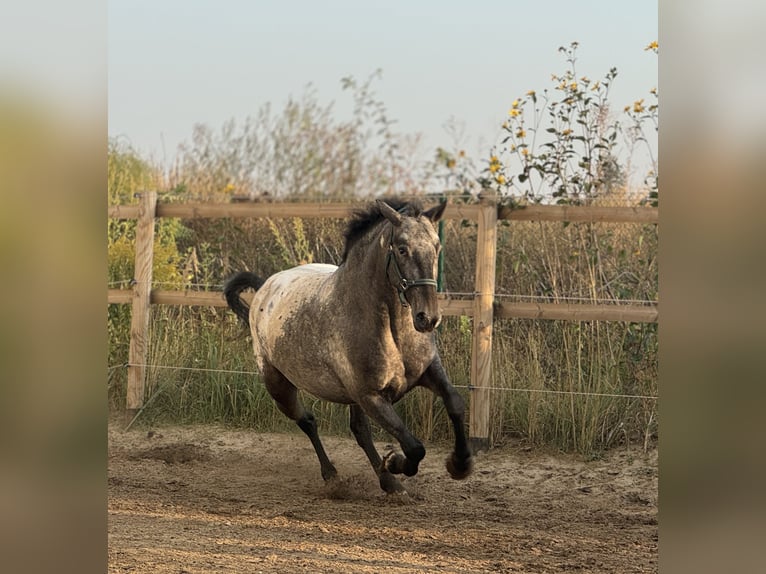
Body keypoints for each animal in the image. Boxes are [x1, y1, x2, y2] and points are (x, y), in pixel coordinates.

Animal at [222, 199, 474, 496]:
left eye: (437, 247)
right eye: (402, 249)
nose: (428, 318)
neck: (393, 331)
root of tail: (264, 287)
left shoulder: (429, 372)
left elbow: (455, 403)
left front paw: (460, 464)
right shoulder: (370, 397)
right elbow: (414, 447)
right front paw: (394, 462)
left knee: (358, 431)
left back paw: (388, 482)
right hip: (277, 385)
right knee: (308, 421)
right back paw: (336, 475)